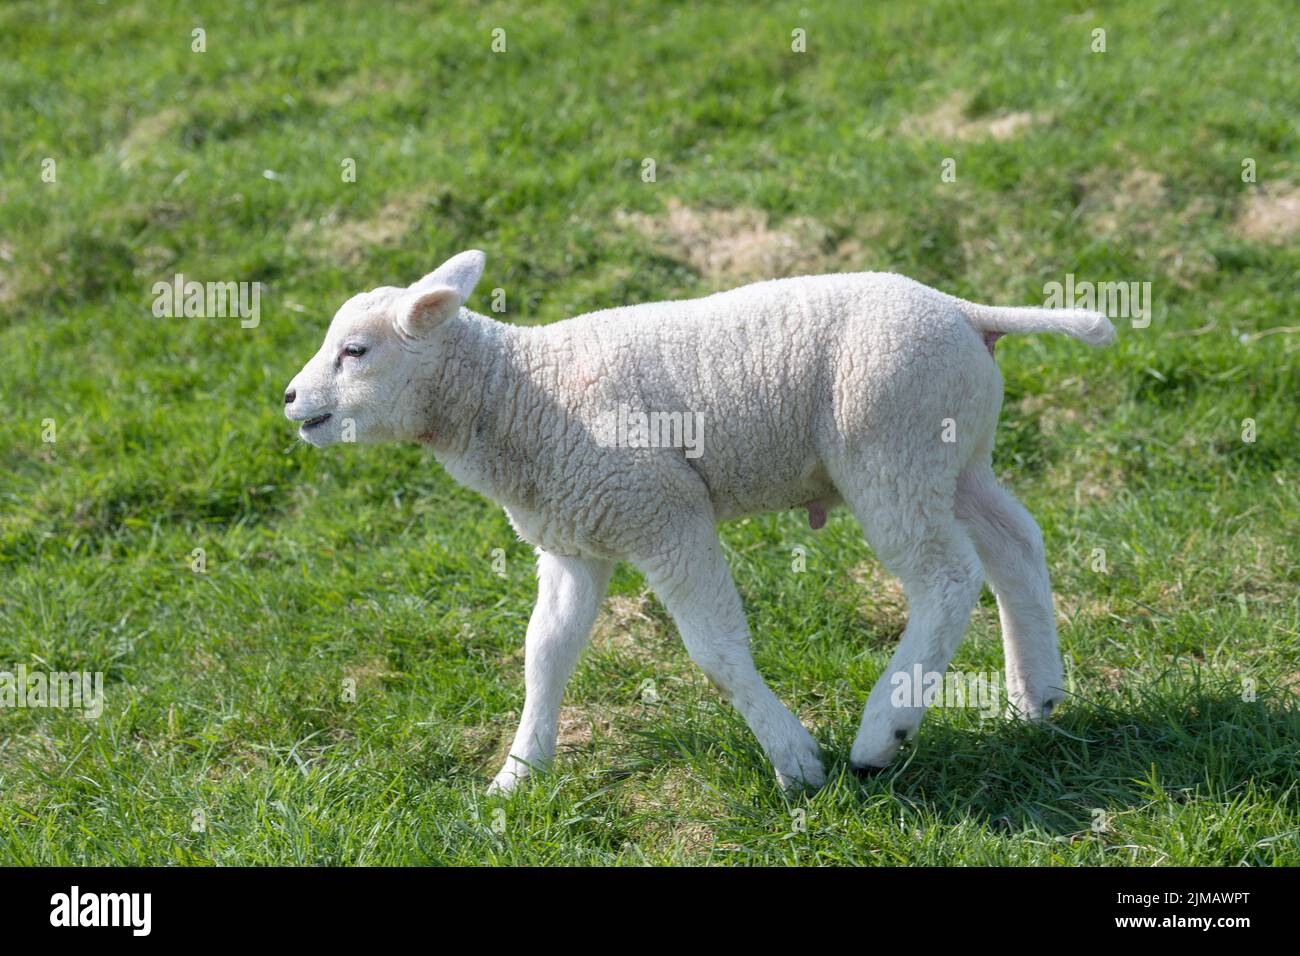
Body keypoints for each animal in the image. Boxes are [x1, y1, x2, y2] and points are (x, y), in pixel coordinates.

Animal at [284, 249, 1115, 793]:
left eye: (355, 350)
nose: (291, 399)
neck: (518, 393)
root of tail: (963, 310)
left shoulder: (663, 513)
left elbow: (715, 650)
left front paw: (795, 761)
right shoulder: (576, 536)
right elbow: (545, 653)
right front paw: (516, 778)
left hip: (890, 446)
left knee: (947, 577)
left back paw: (884, 730)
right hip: (955, 451)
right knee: (1014, 545)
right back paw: (1035, 698)